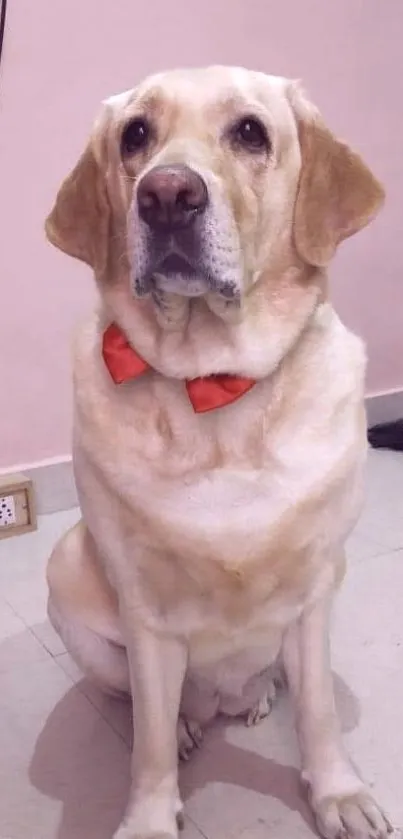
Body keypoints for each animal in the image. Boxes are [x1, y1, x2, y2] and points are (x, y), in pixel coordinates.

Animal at [45, 67, 392, 839]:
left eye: (250, 133)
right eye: (135, 135)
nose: (166, 196)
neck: (215, 387)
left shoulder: (315, 588)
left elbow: (320, 714)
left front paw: (337, 793)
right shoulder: (145, 611)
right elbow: (145, 741)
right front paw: (149, 816)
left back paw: (255, 696)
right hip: (70, 580)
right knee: (148, 705)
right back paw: (185, 724)